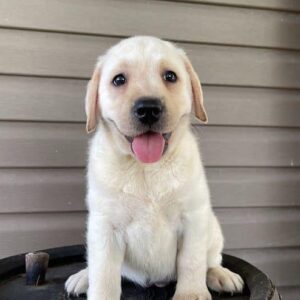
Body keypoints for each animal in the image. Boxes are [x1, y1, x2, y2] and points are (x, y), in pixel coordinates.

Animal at [65, 36, 244, 298]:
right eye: (119, 80)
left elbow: (192, 262)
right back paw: (83, 277)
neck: (146, 169)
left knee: (211, 260)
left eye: (170, 76)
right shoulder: (105, 226)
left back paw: (219, 274)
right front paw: (97, 287)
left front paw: (191, 294)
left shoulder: (193, 218)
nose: (148, 108)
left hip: (212, 229)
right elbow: (104, 274)